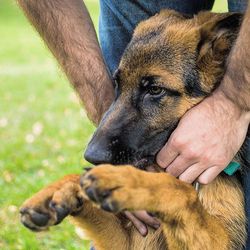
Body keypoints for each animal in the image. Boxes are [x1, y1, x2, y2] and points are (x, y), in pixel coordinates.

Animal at [20, 9, 248, 250]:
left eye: (155, 90)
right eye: (118, 84)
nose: (91, 156)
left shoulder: (220, 241)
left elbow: (181, 191)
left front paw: (127, 182)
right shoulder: (131, 241)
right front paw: (58, 191)